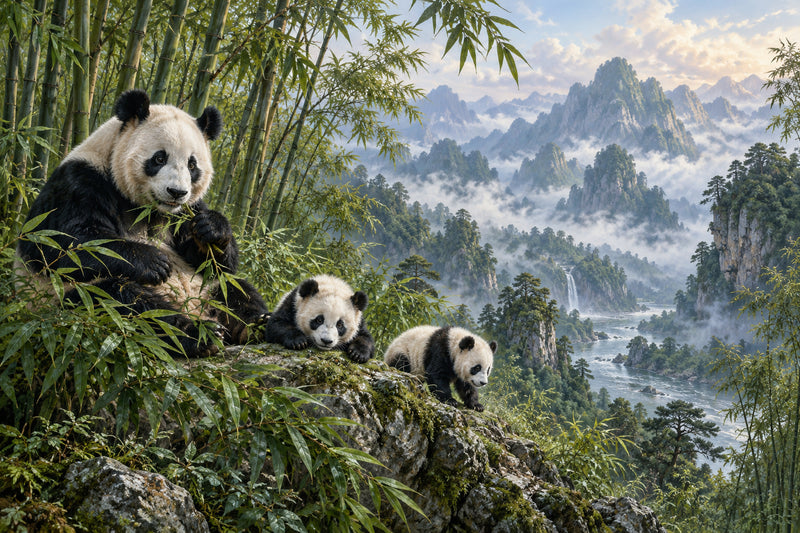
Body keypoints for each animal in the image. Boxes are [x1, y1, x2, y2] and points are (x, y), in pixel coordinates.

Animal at [16, 89, 268, 357]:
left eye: (192, 165)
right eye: (159, 158)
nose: (176, 192)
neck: (149, 209)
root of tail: (194, 308)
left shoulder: (185, 212)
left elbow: (215, 263)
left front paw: (211, 229)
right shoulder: (79, 182)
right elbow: (58, 245)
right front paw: (153, 262)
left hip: (206, 289)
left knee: (234, 288)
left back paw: (254, 325)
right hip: (69, 299)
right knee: (127, 303)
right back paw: (200, 333)